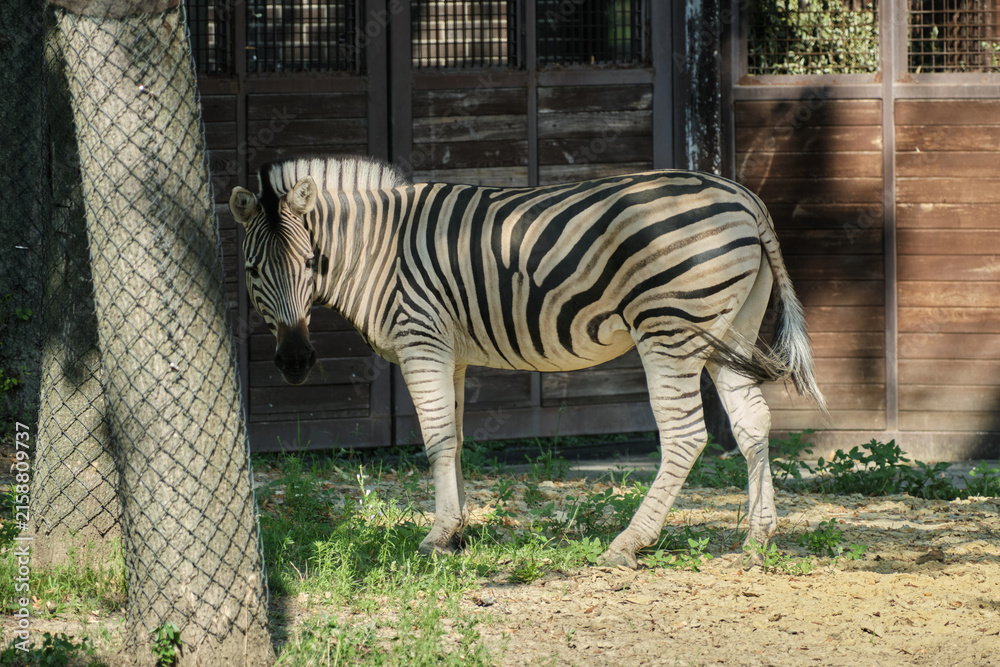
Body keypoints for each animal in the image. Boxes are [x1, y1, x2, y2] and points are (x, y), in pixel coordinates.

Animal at [229, 155, 825, 569]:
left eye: (309, 263)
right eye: (254, 269)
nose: (296, 361)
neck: (376, 251)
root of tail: (745, 198)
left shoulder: (422, 340)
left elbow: (436, 439)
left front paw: (437, 535)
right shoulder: (450, 351)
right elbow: (456, 439)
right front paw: (459, 531)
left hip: (670, 327)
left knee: (685, 435)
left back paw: (629, 543)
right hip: (730, 327)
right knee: (751, 420)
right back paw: (757, 538)